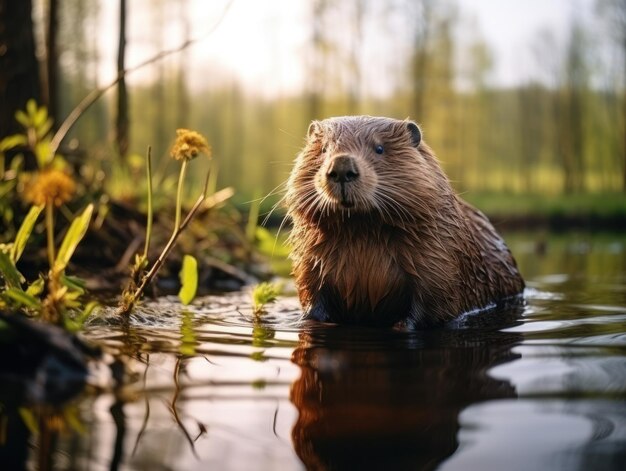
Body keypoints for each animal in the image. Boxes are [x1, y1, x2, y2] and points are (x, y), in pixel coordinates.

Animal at [286, 116, 520, 328]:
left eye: (379, 148)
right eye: (324, 149)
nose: (342, 166)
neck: (361, 229)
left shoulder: (439, 256)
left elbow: (435, 301)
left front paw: (401, 325)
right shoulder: (309, 261)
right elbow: (311, 295)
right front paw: (306, 320)